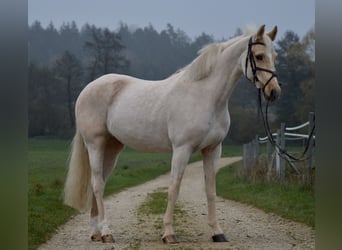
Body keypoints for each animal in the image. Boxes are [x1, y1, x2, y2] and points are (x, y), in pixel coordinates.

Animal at [64, 25, 280, 244]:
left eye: (275, 56)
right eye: (259, 56)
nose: (273, 92)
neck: (205, 96)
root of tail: (87, 89)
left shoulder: (212, 150)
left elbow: (210, 191)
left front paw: (217, 232)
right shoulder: (182, 149)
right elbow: (174, 189)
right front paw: (168, 233)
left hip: (112, 147)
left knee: (99, 183)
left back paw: (96, 232)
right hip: (95, 144)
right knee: (97, 185)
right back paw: (107, 232)